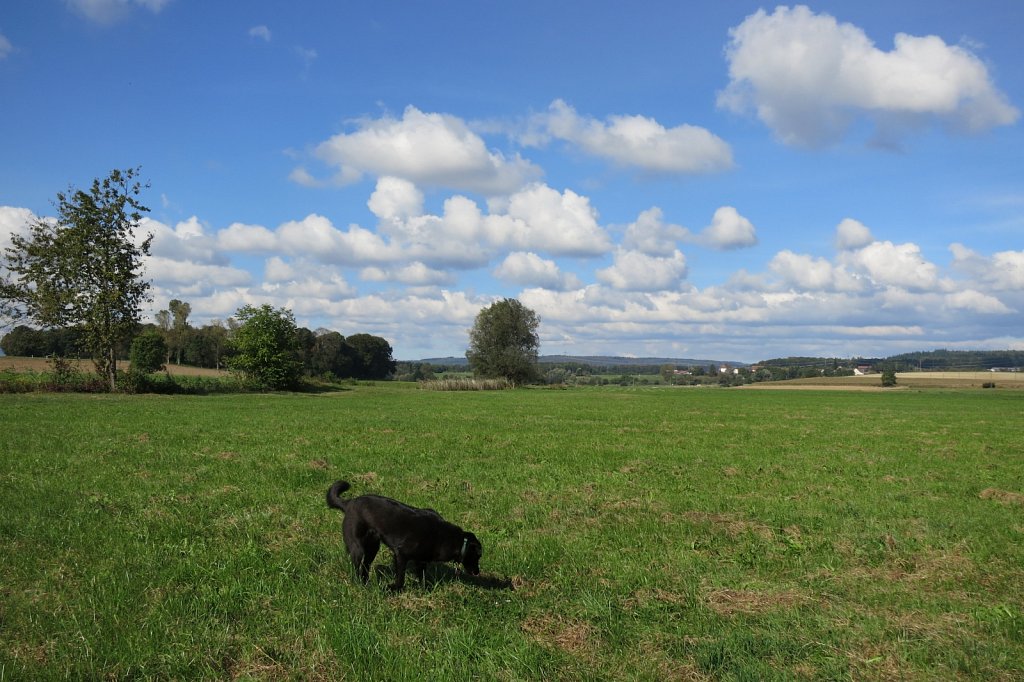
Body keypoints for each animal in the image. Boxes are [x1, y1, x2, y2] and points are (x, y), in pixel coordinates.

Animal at [329, 477, 485, 589]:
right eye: (477, 556)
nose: (477, 572)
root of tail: (349, 503)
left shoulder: (421, 561)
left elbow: (422, 577)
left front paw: (424, 590)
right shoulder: (401, 554)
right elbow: (401, 578)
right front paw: (393, 589)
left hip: (373, 547)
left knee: (365, 566)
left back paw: (367, 583)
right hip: (358, 547)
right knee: (357, 566)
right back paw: (360, 584)